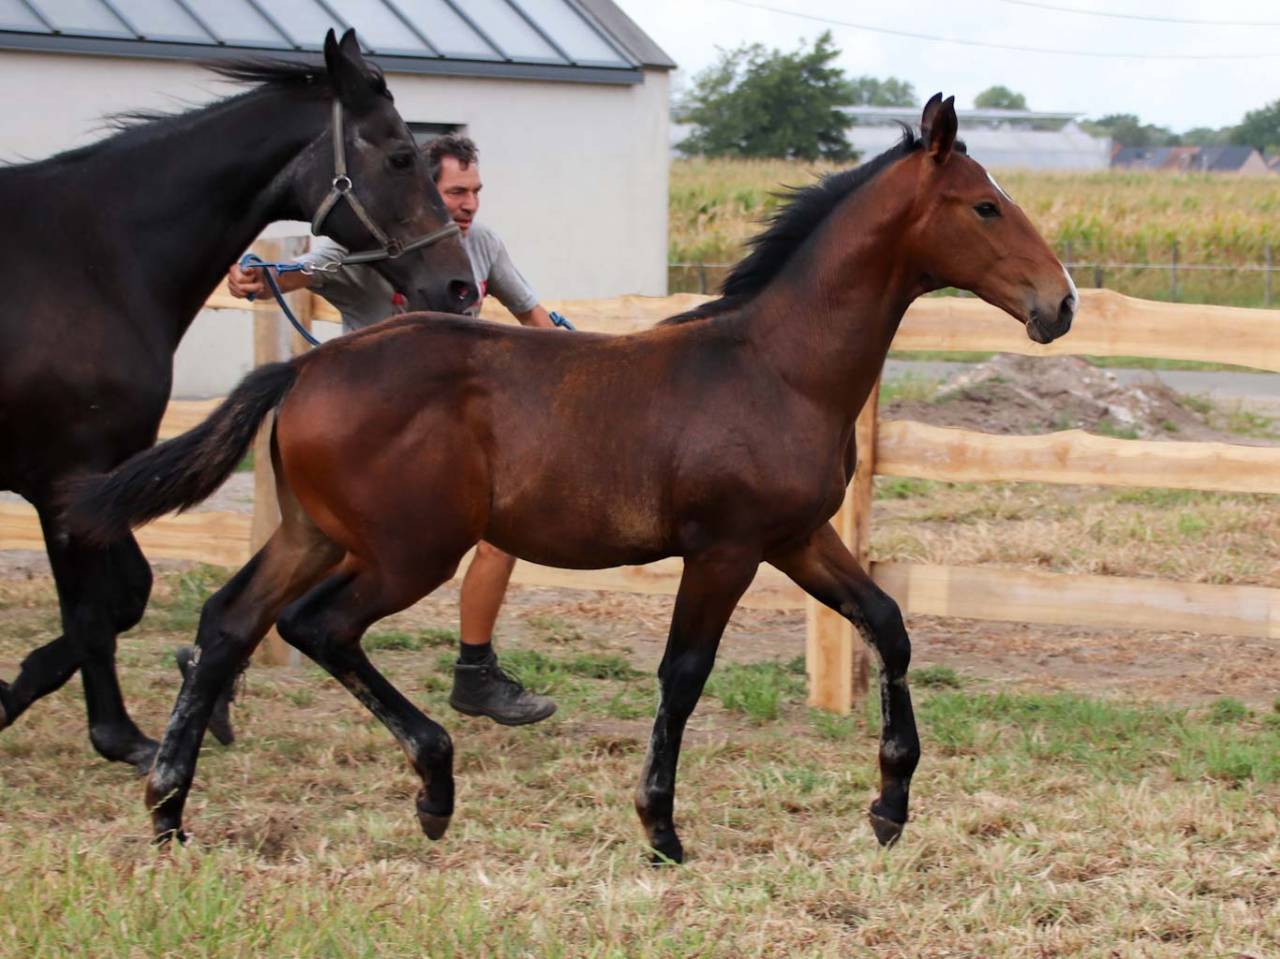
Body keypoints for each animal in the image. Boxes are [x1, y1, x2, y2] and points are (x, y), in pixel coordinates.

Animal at [0, 30, 476, 772]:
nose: (458, 287)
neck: (90, 256)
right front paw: (120, 734)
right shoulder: (63, 479)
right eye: (402, 155)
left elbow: (124, 596)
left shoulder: (92, 482)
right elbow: (95, 612)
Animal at [67, 95, 1076, 860]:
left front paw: (889, 807)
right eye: (985, 206)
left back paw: (170, 808)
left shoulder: (797, 537)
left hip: (313, 533)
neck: (777, 366)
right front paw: (660, 827)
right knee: (317, 627)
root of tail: (309, 366)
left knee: (228, 623)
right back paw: (433, 784)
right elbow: (683, 673)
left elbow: (890, 624)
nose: (1059, 305)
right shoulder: (727, 549)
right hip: (406, 551)